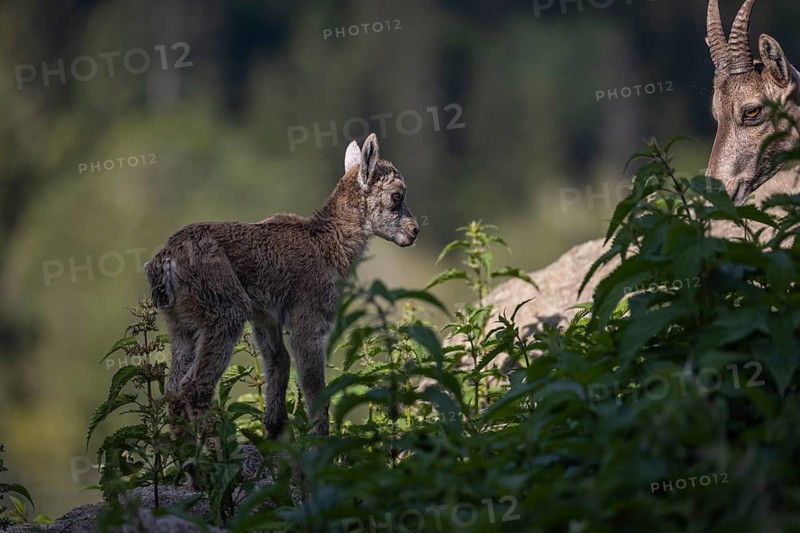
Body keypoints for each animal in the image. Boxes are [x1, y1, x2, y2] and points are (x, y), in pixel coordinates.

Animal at [144, 133, 419, 438]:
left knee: (172, 391)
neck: (328, 246)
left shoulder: (267, 320)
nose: (414, 231)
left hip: (182, 327)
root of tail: (165, 262)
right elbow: (315, 391)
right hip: (224, 313)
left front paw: (276, 432)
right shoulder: (307, 320)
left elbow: (280, 366)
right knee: (194, 389)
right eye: (397, 196)